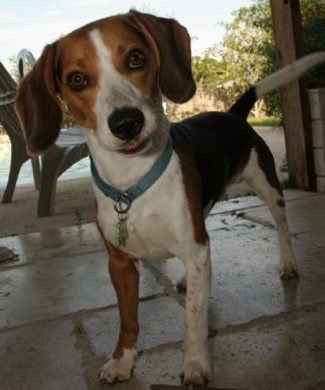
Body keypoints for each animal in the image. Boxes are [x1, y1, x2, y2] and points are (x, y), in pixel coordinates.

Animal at [14, 9, 324, 386]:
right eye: (76, 80)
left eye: (136, 58)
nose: (127, 123)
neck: (132, 183)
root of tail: (231, 113)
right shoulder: (120, 263)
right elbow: (128, 318)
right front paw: (123, 360)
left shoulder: (194, 248)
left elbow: (194, 317)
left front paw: (195, 364)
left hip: (268, 187)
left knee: (281, 226)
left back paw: (289, 264)